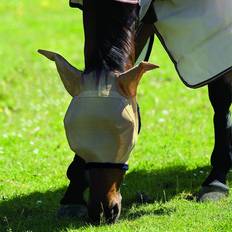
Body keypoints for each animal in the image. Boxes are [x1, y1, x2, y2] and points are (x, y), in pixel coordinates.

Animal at [39, 0, 232, 225]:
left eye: (125, 135)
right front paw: (73, 197)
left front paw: (216, 181)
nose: (103, 210)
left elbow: (220, 99)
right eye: (73, 135)